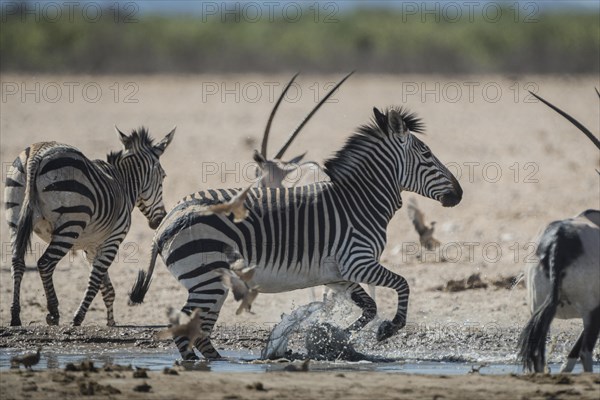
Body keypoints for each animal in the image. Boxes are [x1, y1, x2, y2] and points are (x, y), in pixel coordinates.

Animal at [5, 126, 173, 326]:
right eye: (163, 176)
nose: (160, 219)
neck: (123, 184)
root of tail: (38, 154)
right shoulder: (113, 240)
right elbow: (95, 281)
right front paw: (78, 318)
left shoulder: (92, 247)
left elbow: (106, 287)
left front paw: (110, 322)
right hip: (70, 223)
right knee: (45, 264)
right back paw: (53, 312)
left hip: (15, 218)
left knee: (17, 262)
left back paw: (15, 316)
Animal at [129, 106, 462, 360]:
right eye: (427, 154)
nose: (458, 194)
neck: (358, 201)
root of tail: (168, 221)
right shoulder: (358, 261)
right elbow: (402, 284)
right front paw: (387, 329)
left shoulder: (339, 273)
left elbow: (370, 306)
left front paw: (339, 337)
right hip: (207, 279)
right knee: (189, 331)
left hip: (210, 282)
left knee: (200, 333)